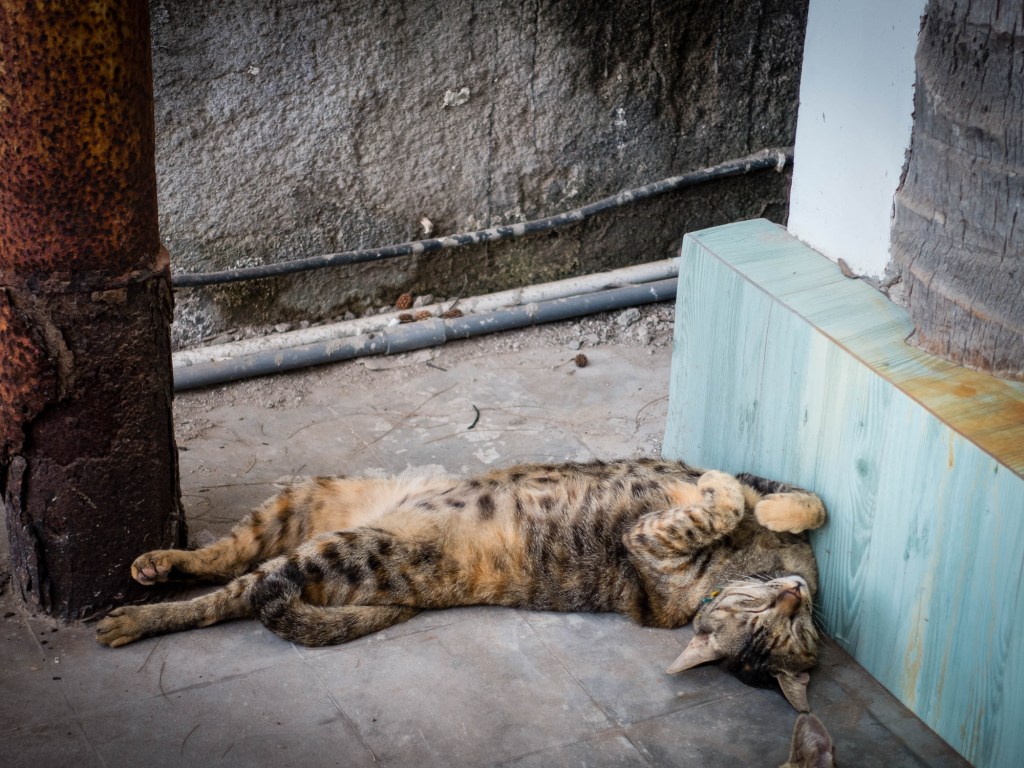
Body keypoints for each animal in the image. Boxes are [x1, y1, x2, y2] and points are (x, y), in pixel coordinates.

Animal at [97, 460, 823, 712]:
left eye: (787, 630)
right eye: (766, 611)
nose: (791, 593)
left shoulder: (652, 538)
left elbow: (726, 501)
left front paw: (724, 495)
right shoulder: (731, 486)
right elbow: (800, 499)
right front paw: (764, 505)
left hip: (337, 551)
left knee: (245, 593)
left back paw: (135, 617)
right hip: (306, 503)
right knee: (226, 561)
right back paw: (155, 568)